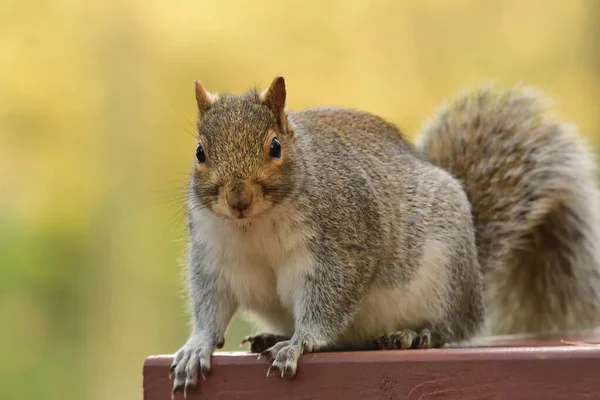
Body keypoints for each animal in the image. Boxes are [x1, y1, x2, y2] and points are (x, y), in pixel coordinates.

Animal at [169, 76, 600, 396]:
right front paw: (196, 348)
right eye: (200, 153)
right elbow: (211, 304)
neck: (254, 224)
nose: (238, 198)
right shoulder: (213, 255)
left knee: (455, 327)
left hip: (447, 275)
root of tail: (476, 271)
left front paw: (299, 343)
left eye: (275, 146)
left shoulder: (344, 243)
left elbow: (329, 300)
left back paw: (415, 334)